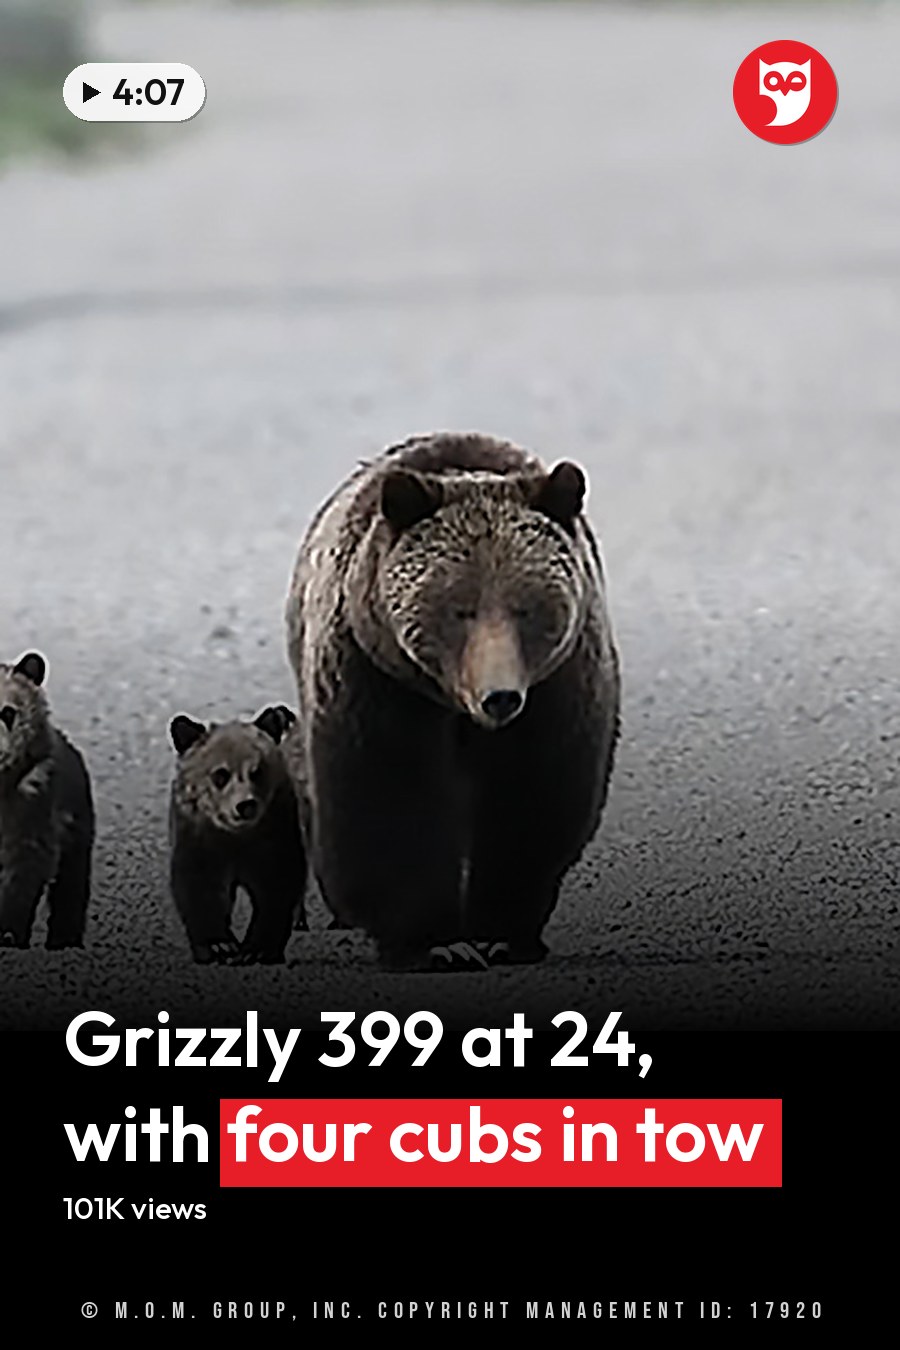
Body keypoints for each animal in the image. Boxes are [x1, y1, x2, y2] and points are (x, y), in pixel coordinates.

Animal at [168, 704, 307, 965]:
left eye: (256, 771)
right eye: (220, 774)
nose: (245, 805)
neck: (236, 836)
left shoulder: (275, 831)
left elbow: (277, 884)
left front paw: (256, 949)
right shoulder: (199, 836)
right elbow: (199, 886)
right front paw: (220, 946)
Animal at [285, 431, 620, 970]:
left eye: (526, 608)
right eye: (460, 609)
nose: (500, 697)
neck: (455, 707)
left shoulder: (556, 692)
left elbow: (531, 800)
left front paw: (500, 934)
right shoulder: (379, 685)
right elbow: (390, 802)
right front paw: (435, 943)